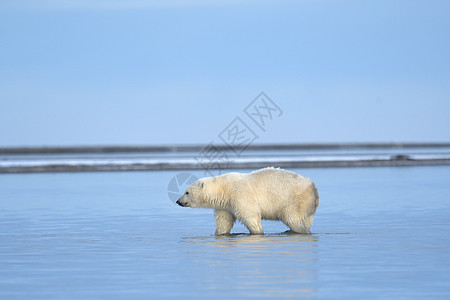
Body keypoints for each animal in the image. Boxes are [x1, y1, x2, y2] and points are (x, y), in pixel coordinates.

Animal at [174, 166, 318, 234]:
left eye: (186, 192)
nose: (178, 201)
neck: (224, 190)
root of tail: (313, 187)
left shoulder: (240, 195)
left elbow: (250, 216)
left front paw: (257, 232)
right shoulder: (225, 205)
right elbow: (224, 222)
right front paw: (219, 233)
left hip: (294, 200)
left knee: (293, 218)